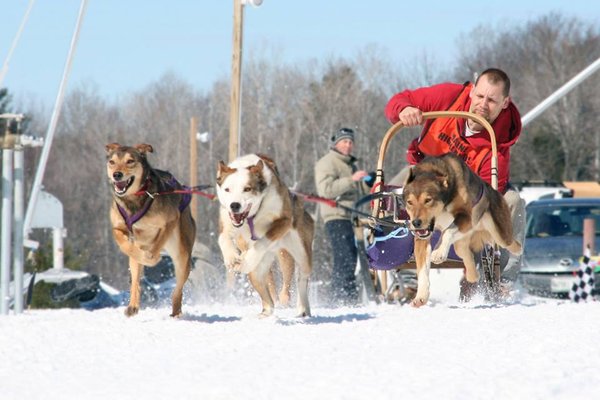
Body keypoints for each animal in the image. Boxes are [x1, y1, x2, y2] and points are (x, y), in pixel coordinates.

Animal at [105, 142, 195, 318]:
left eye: (130, 161)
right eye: (112, 162)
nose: (116, 174)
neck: (134, 200)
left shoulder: (170, 221)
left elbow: (157, 245)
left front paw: (152, 257)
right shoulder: (119, 227)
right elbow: (124, 244)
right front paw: (143, 255)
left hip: (182, 256)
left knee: (178, 289)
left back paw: (176, 310)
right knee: (135, 279)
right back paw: (132, 305)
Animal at [218, 154, 316, 318]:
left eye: (247, 189)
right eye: (227, 189)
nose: (234, 205)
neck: (253, 216)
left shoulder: (283, 221)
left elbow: (262, 241)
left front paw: (246, 260)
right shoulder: (228, 222)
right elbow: (223, 238)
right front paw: (231, 257)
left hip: (299, 254)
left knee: (301, 278)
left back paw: (302, 308)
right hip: (258, 271)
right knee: (267, 297)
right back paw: (266, 312)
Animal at [400, 152, 524, 306]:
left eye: (428, 200)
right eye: (410, 202)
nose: (416, 222)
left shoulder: (466, 216)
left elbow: (447, 232)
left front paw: (438, 253)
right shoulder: (422, 237)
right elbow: (422, 269)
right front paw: (421, 296)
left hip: (500, 234)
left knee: (510, 243)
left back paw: (518, 249)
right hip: (461, 242)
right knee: (465, 253)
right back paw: (472, 275)